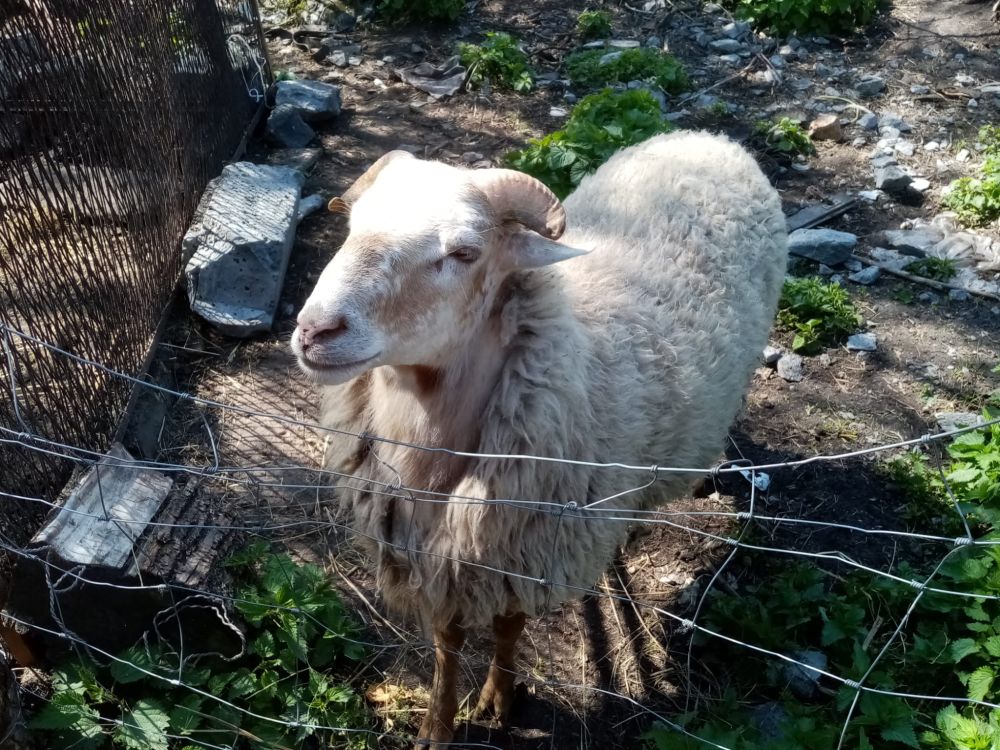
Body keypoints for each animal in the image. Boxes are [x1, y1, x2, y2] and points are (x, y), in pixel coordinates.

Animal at [292, 130, 788, 749]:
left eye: (464, 253)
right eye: (353, 225)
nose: (315, 330)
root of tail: (711, 139)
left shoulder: (525, 550)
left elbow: (508, 629)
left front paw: (499, 700)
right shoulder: (438, 553)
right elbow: (446, 643)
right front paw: (438, 723)